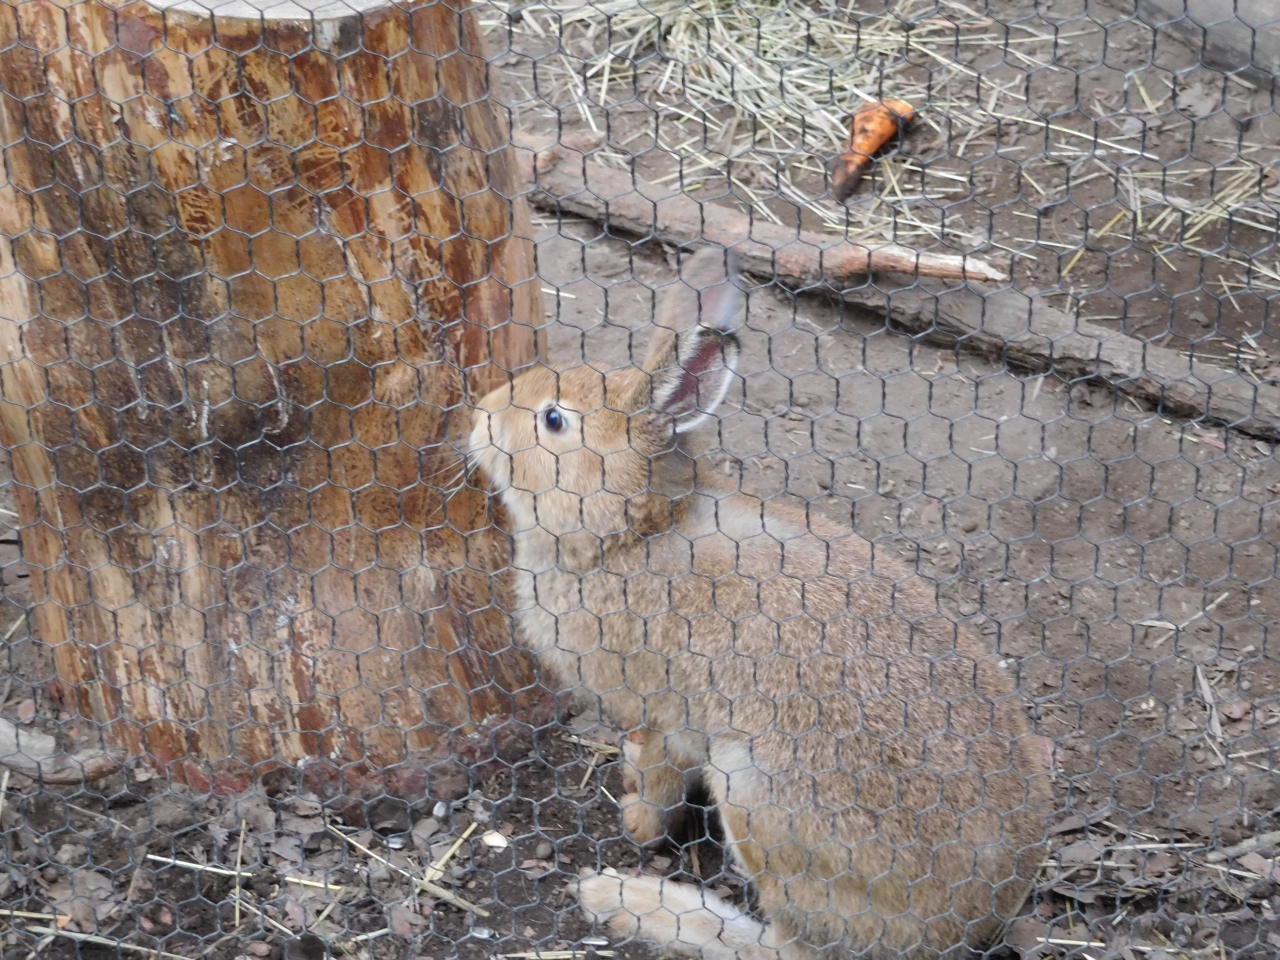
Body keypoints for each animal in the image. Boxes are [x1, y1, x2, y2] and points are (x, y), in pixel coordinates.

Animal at [468, 247, 1052, 960]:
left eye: (552, 420)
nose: (480, 414)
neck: (633, 531)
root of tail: (959, 929)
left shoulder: (659, 714)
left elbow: (659, 785)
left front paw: (635, 822)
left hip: (754, 791)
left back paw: (627, 899)